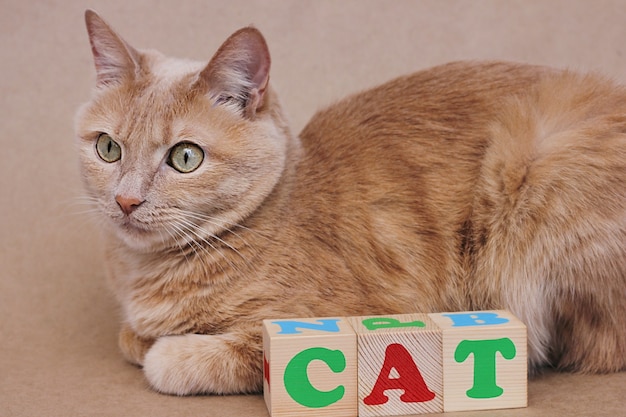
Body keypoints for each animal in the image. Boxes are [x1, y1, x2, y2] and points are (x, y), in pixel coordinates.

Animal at [75, 8, 620, 394]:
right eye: (108, 148)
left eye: (185, 157)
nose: (126, 200)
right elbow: (131, 337)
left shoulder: (347, 314)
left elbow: (211, 353)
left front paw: (169, 353)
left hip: (537, 172)